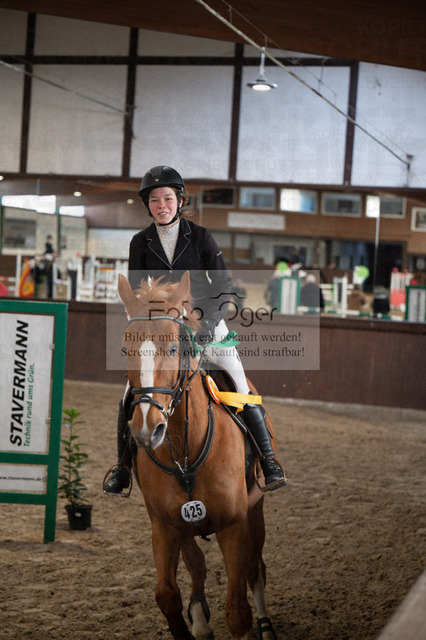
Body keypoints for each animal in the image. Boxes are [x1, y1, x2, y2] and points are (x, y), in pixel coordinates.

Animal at [117, 271, 279, 640]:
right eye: (126, 348)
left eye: (174, 348)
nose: (147, 429)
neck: (185, 451)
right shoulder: (165, 526)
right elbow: (167, 596)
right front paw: (194, 621)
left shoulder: (235, 525)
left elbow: (238, 611)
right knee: (198, 567)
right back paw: (201, 619)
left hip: (256, 510)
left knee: (256, 569)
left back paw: (265, 625)